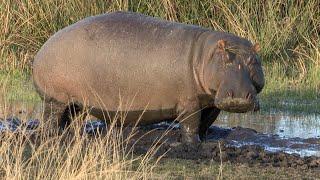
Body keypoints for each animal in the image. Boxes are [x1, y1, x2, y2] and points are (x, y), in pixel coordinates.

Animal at [31, 11, 264, 143]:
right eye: (225, 57)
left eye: (253, 60)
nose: (239, 97)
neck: (204, 55)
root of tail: (43, 48)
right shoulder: (189, 102)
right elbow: (191, 123)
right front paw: (192, 143)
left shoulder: (211, 102)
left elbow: (205, 123)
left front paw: (205, 140)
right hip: (55, 99)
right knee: (51, 118)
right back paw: (53, 136)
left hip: (76, 102)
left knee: (69, 118)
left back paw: (70, 135)